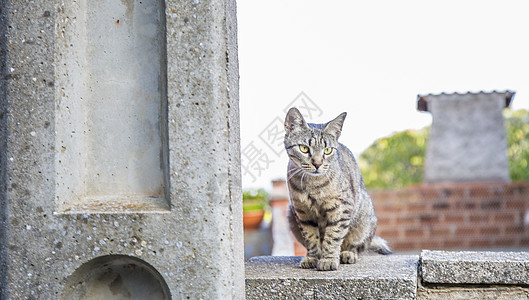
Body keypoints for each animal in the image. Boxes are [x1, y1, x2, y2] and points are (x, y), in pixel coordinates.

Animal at [282, 106, 390, 270]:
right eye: (304, 148)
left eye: (327, 150)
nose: (317, 164)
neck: (312, 185)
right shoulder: (302, 212)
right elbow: (311, 237)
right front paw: (313, 257)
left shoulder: (341, 208)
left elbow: (333, 236)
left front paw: (328, 259)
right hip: (290, 213)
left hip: (364, 218)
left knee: (356, 246)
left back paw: (347, 254)